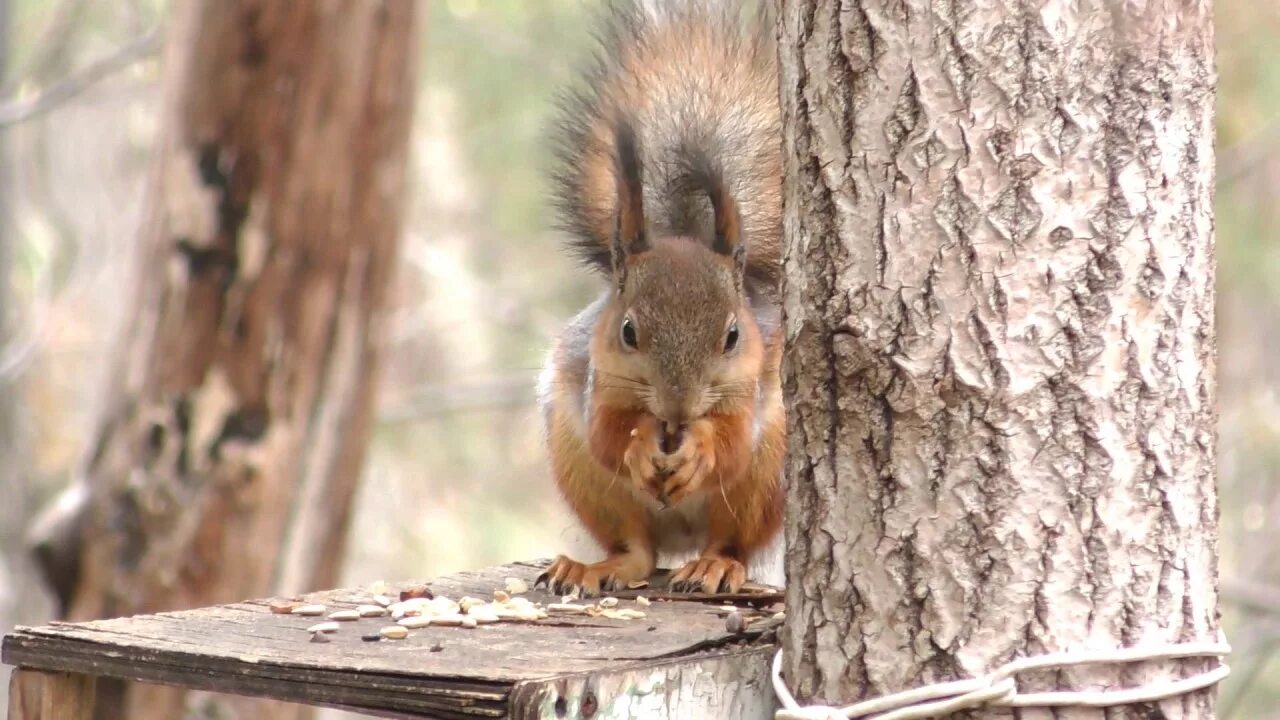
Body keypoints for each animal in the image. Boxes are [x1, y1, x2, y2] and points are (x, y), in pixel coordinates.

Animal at [535, 1, 783, 594]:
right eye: (628, 331)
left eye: (733, 335)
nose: (677, 410)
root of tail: (682, 539)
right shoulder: (596, 375)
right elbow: (608, 434)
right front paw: (641, 444)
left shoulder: (752, 384)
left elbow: (732, 444)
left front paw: (700, 449)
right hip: (583, 474)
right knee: (636, 551)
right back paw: (594, 567)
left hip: (766, 480)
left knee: (729, 539)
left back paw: (714, 565)